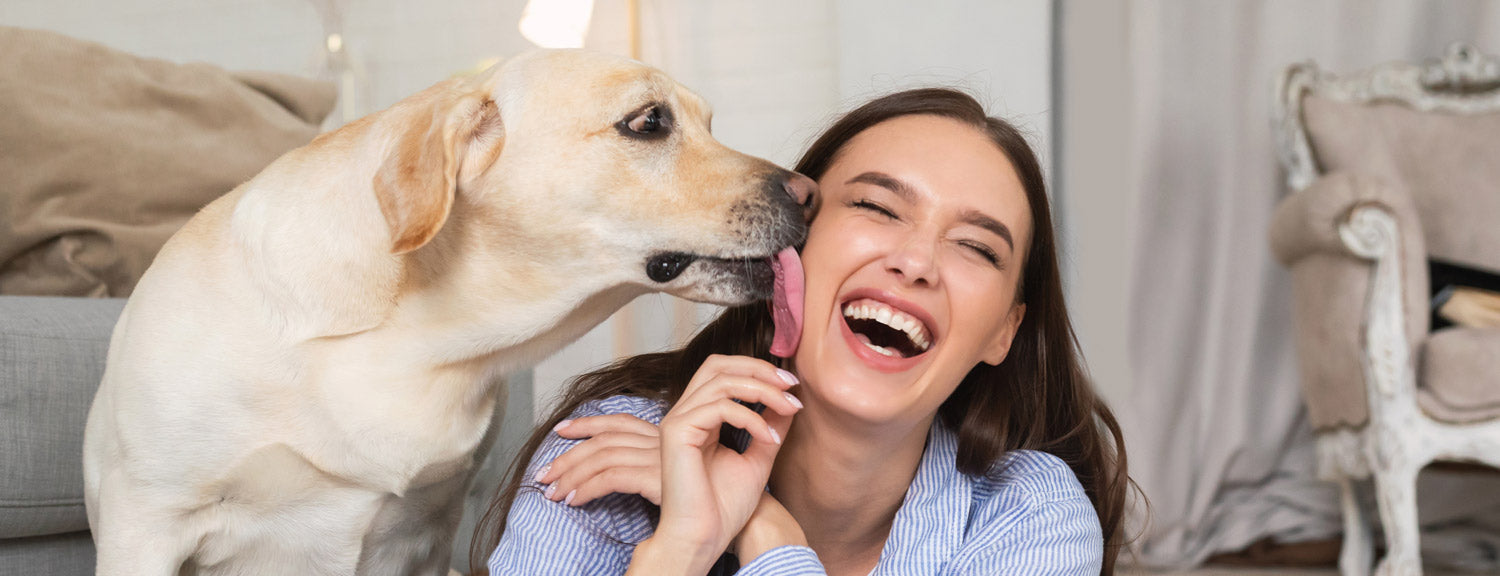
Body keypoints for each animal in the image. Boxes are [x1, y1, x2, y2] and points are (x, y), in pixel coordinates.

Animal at [80, 49, 816, 576]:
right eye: (649, 122)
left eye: (708, 124)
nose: (810, 193)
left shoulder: (428, 530)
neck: (413, 341)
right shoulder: (145, 524)